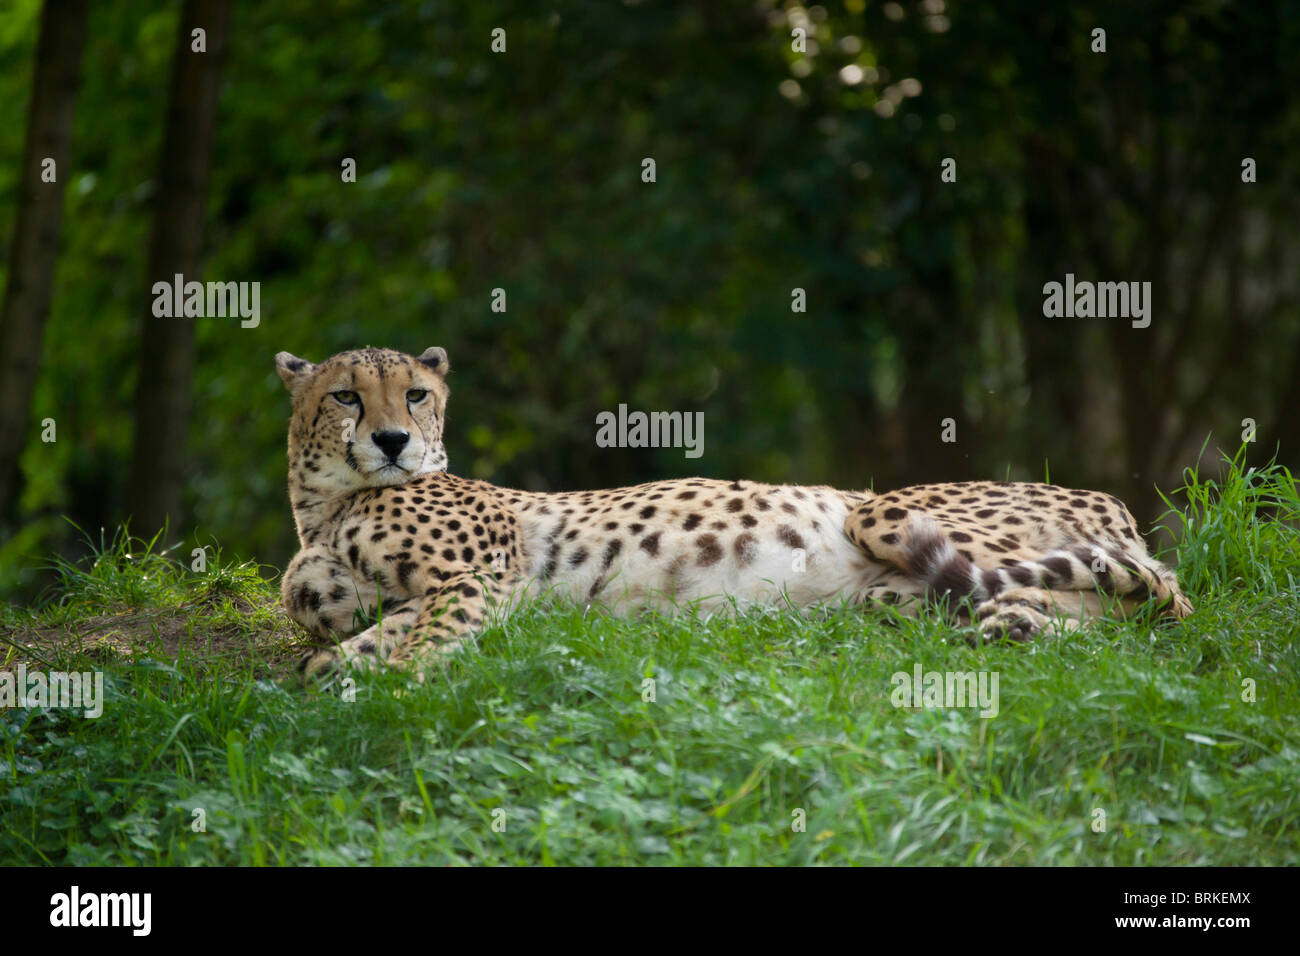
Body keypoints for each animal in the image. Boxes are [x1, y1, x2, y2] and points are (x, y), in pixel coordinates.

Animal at [279, 343, 1190, 681]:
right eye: (347, 396)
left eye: (417, 394)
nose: (393, 440)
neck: (327, 506)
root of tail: (1110, 499)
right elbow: (337, 633)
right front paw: (340, 673)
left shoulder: (483, 575)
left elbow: (424, 639)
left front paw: (402, 689)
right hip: (893, 595)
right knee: (1108, 616)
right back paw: (1019, 630)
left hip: (887, 515)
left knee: (1158, 598)